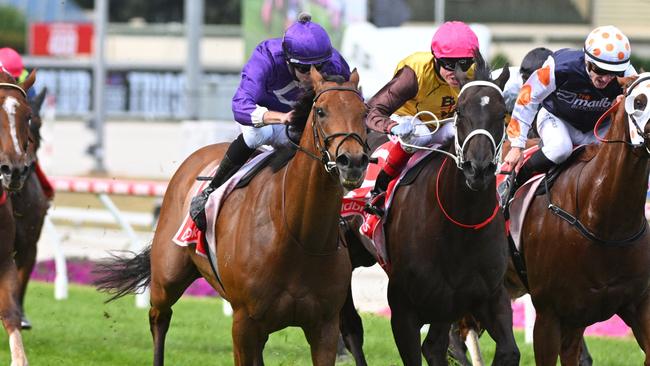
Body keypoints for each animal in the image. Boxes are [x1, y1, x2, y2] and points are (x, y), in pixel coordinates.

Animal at [93, 68, 368, 366]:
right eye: (320, 111)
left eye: (363, 112)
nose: (352, 161)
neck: (298, 234)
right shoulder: (244, 322)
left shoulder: (324, 327)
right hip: (167, 277)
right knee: (159, 318)